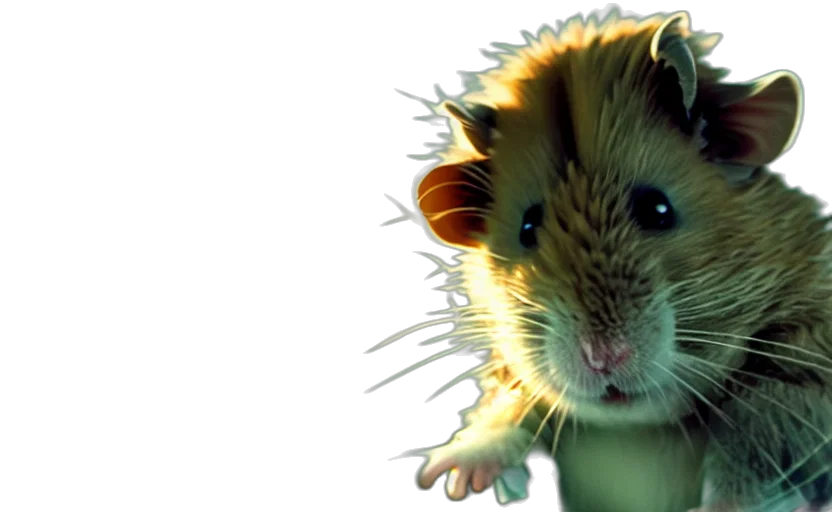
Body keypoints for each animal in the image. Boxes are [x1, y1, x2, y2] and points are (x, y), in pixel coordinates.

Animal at [372, 9, 831, 512]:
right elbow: (515, 403)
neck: (638, 424)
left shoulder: (803, 366)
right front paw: (453, 473)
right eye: (528, 228)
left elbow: (758, 440)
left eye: (658, 209)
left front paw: (725, 505)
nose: (600, 359)